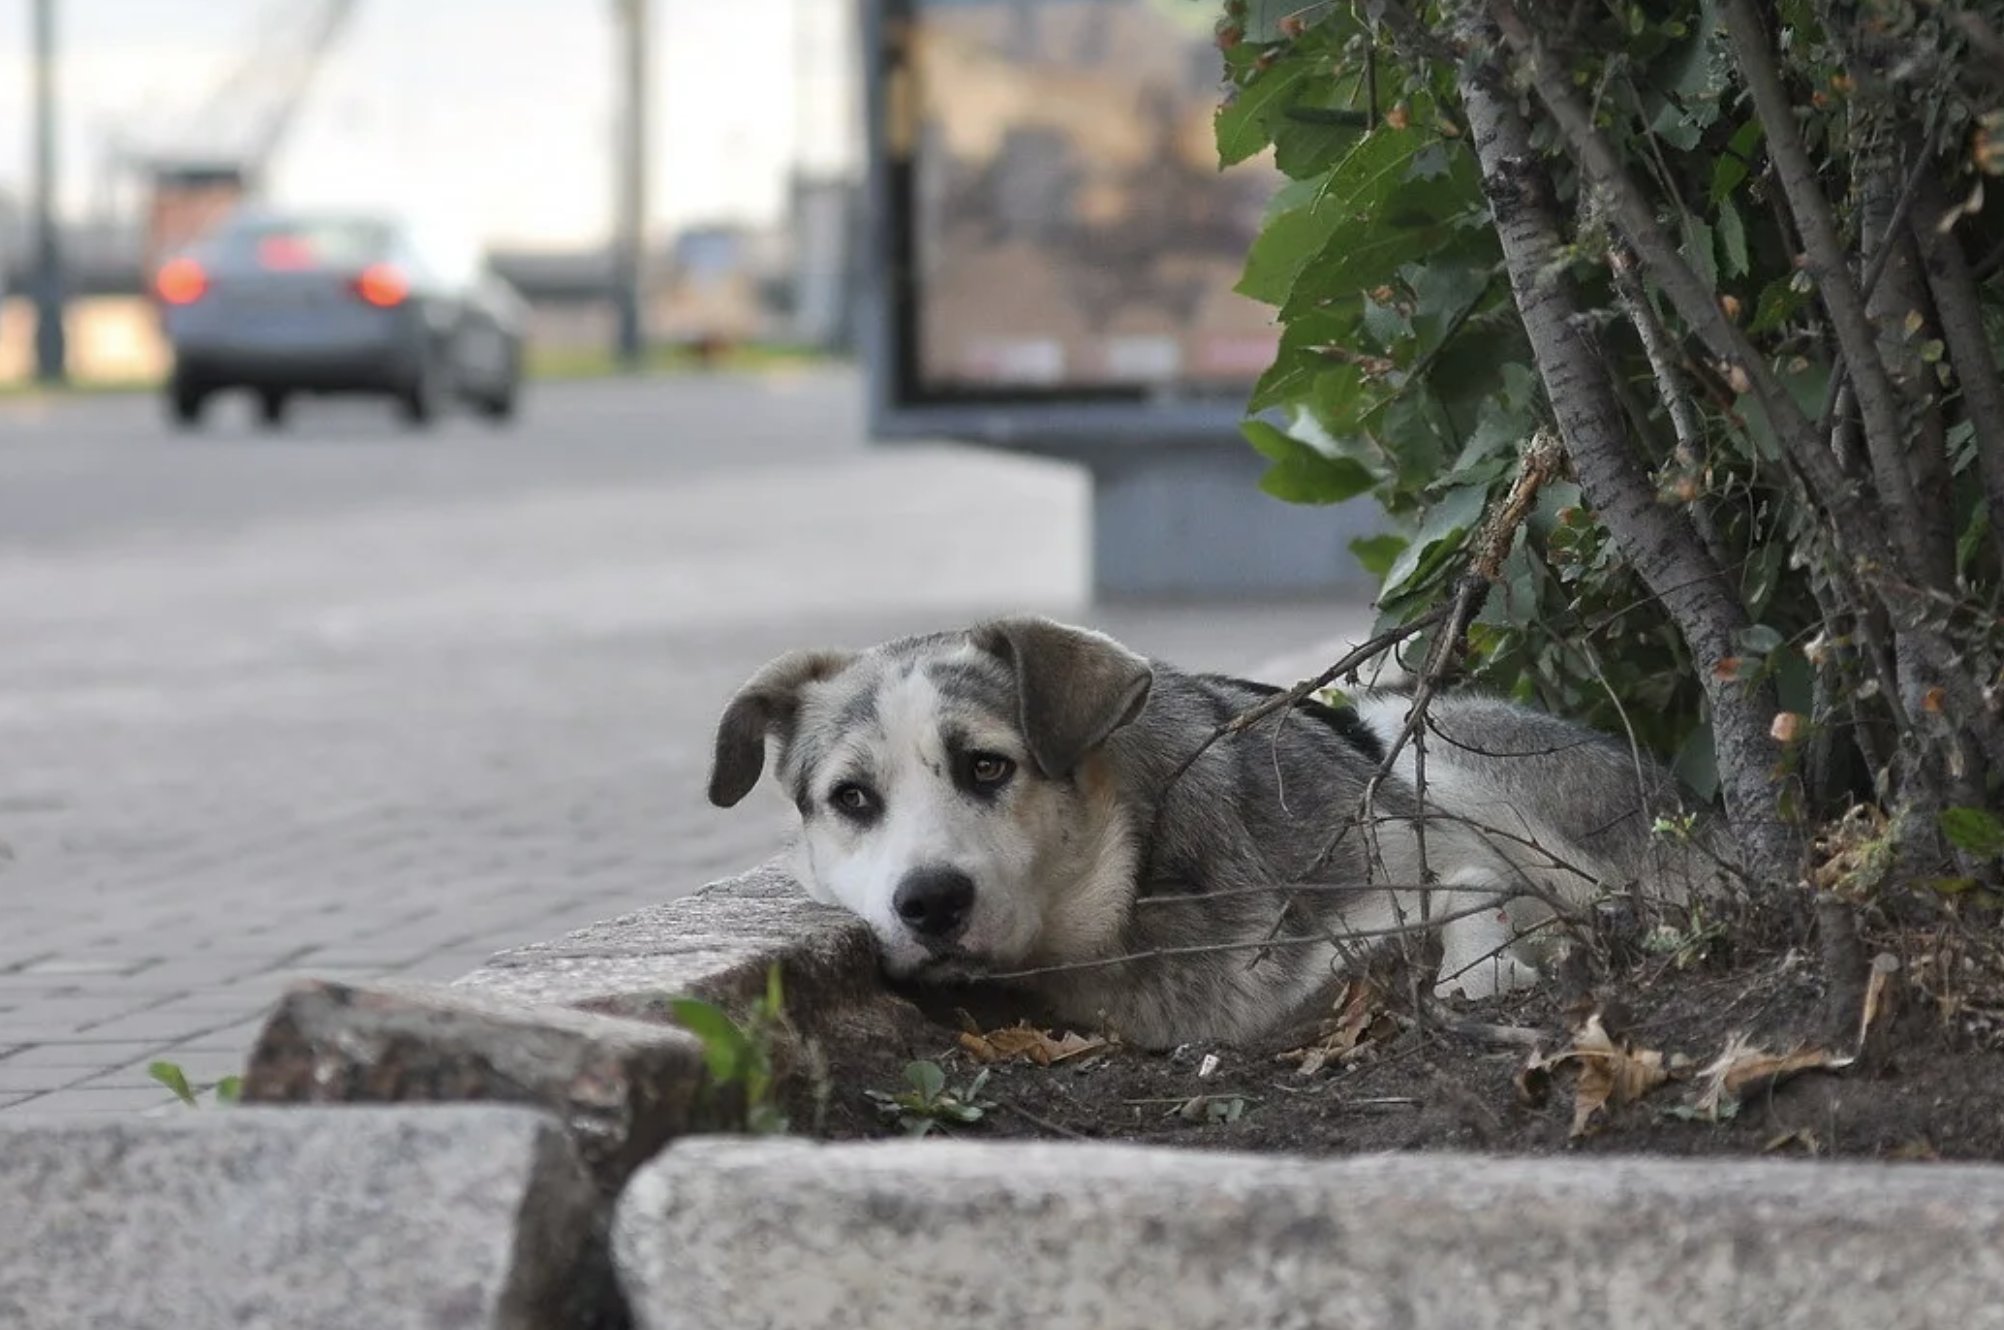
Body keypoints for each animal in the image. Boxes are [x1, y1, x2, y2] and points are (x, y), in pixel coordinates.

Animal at [709, 616, 1723, 1049]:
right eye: (852, 798)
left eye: (987, 767)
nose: (928, 904)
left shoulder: (1423, 861)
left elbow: (1475, 904)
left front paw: (1499, 967)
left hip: (1425, 736)